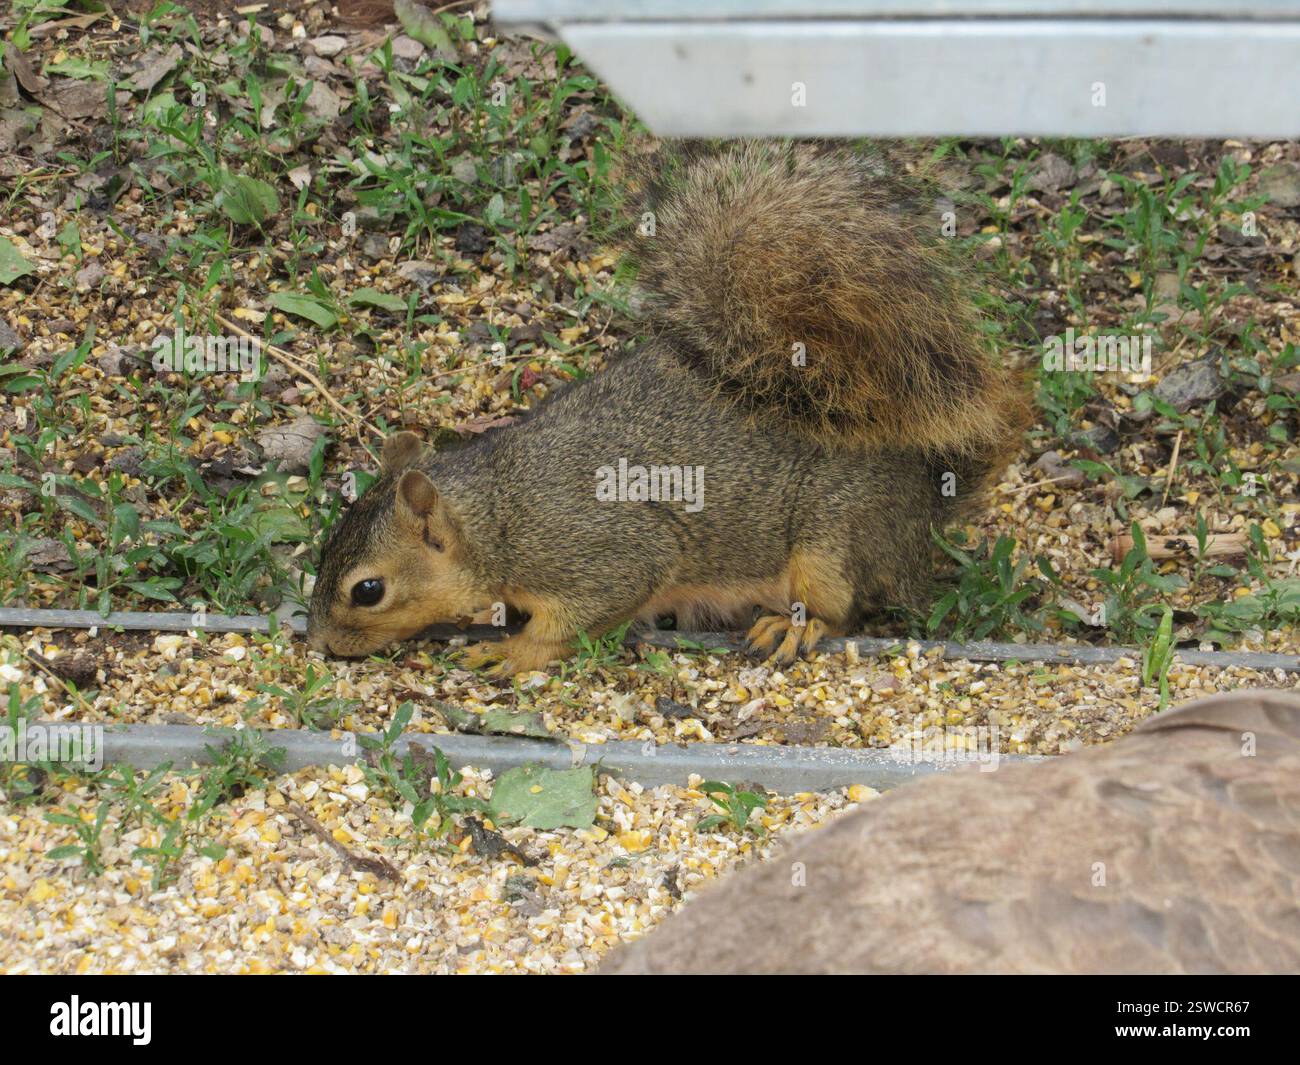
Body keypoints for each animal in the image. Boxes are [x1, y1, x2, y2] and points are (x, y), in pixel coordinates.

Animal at [307, 141, 1028, 675]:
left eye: (367, 590)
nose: (321, 643)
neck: (495, 515)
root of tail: (929, 497)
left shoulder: (601, 555)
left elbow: (582, 613)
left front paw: (515, 651)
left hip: (836, 537)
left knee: (841, 606)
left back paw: (791, 628)